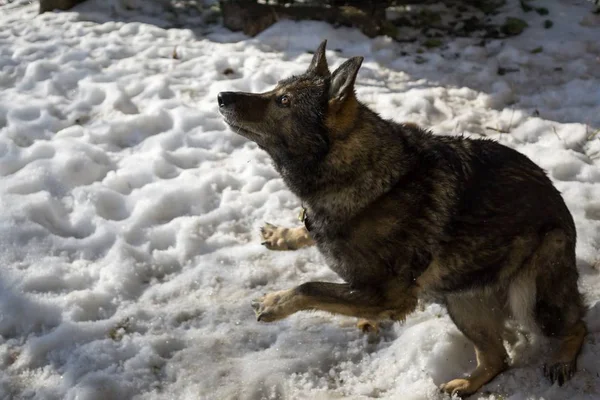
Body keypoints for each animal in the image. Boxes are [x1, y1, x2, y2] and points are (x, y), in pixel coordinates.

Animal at [217, 41, 584, 396]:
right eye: (275, 89)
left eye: (284, 101)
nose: (221, 97)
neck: (360, 171)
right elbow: (309, 234)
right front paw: (284, 235)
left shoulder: (388, 297)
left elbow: (311, 287)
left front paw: (275, 301)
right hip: (461, 300)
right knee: (498, 358)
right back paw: (466, 383)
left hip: (531, 292)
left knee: (576, 325)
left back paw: (562, 361)